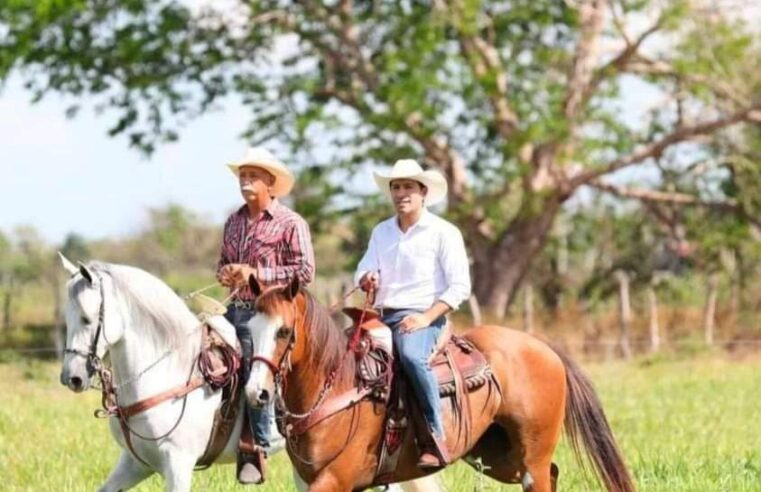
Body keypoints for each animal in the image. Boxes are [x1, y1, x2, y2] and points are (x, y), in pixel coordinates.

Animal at [57, 256, 440, 492]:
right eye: (66, 317)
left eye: (88, 319)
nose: (71, 378)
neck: (172, 372)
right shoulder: (135, 463)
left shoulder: (178, 464)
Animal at [244, 275, 636, 492]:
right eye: (249, 328)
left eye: (283, 331)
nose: (256, 392)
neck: (338, 387)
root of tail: (544, 347)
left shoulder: (334, 479)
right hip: (499, 457)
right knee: (551, 475)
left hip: (532, 457)